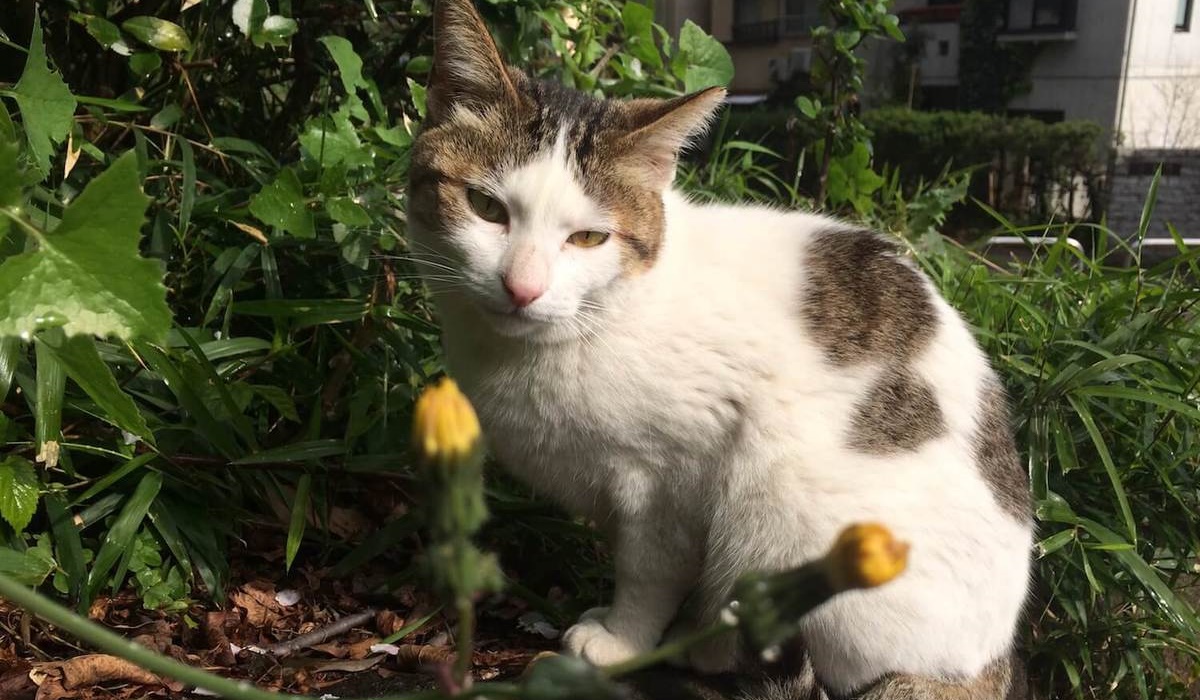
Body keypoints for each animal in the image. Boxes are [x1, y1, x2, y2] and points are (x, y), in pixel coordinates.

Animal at [408, 1, 1036, 700]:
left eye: (589, 238)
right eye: (485, 207)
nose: (522, 287)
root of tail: (992, 663)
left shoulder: (671, 479)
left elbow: (649, 570)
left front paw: (621, 639)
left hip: (783, 512)